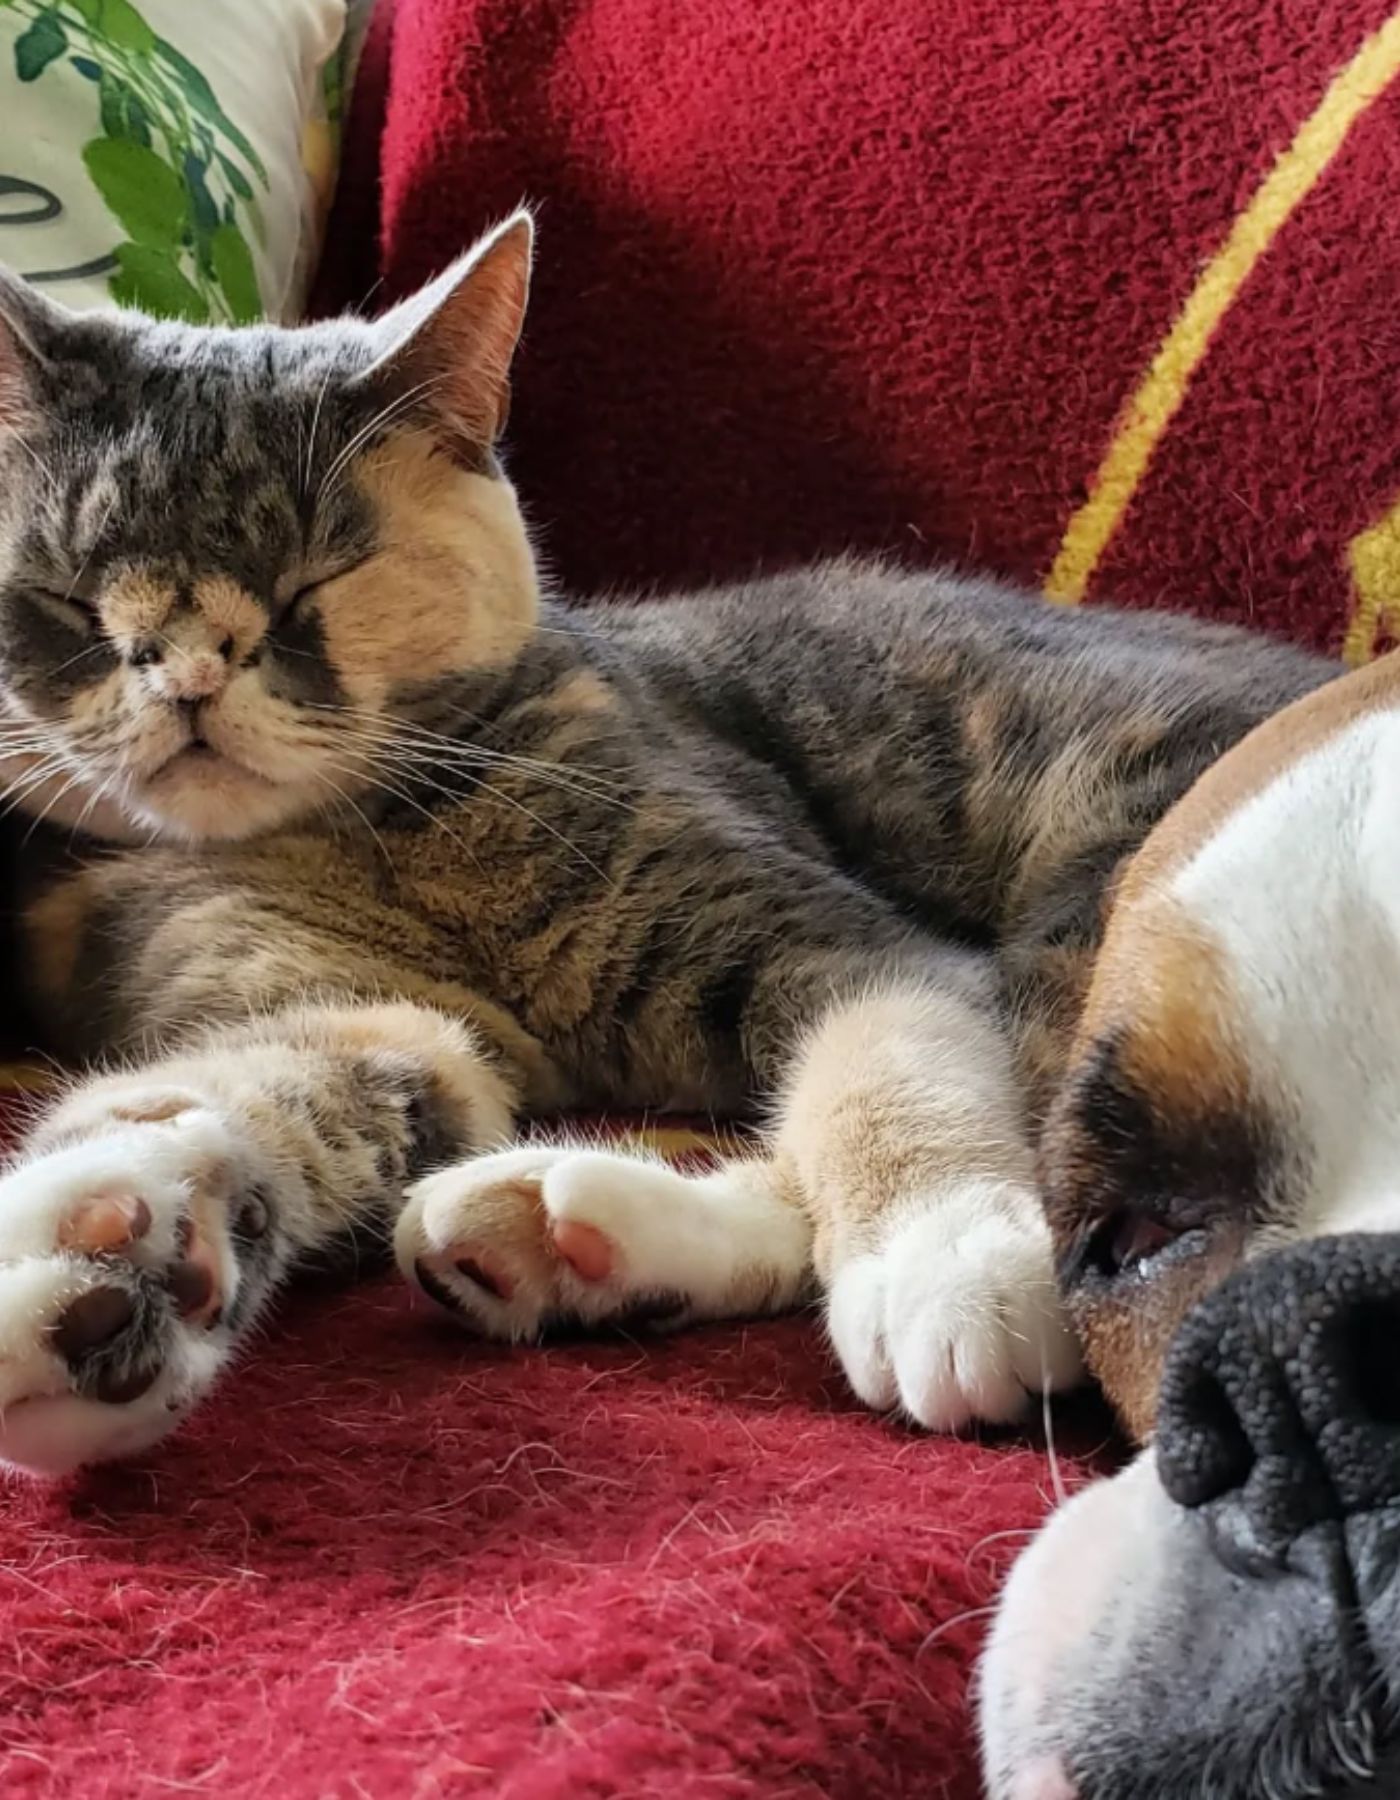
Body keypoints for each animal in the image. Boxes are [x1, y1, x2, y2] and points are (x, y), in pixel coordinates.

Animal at [0, 214, 1331, 1476]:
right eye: (63, 599)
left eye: (309, 582)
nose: (182, 673)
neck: (371, 838)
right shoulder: (352, 1010)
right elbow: (256, 1085)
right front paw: (106, 1260)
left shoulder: (830, 935)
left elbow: (882, 1064)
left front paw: (947, 1255)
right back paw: (551, 1234)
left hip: (1111, 895)